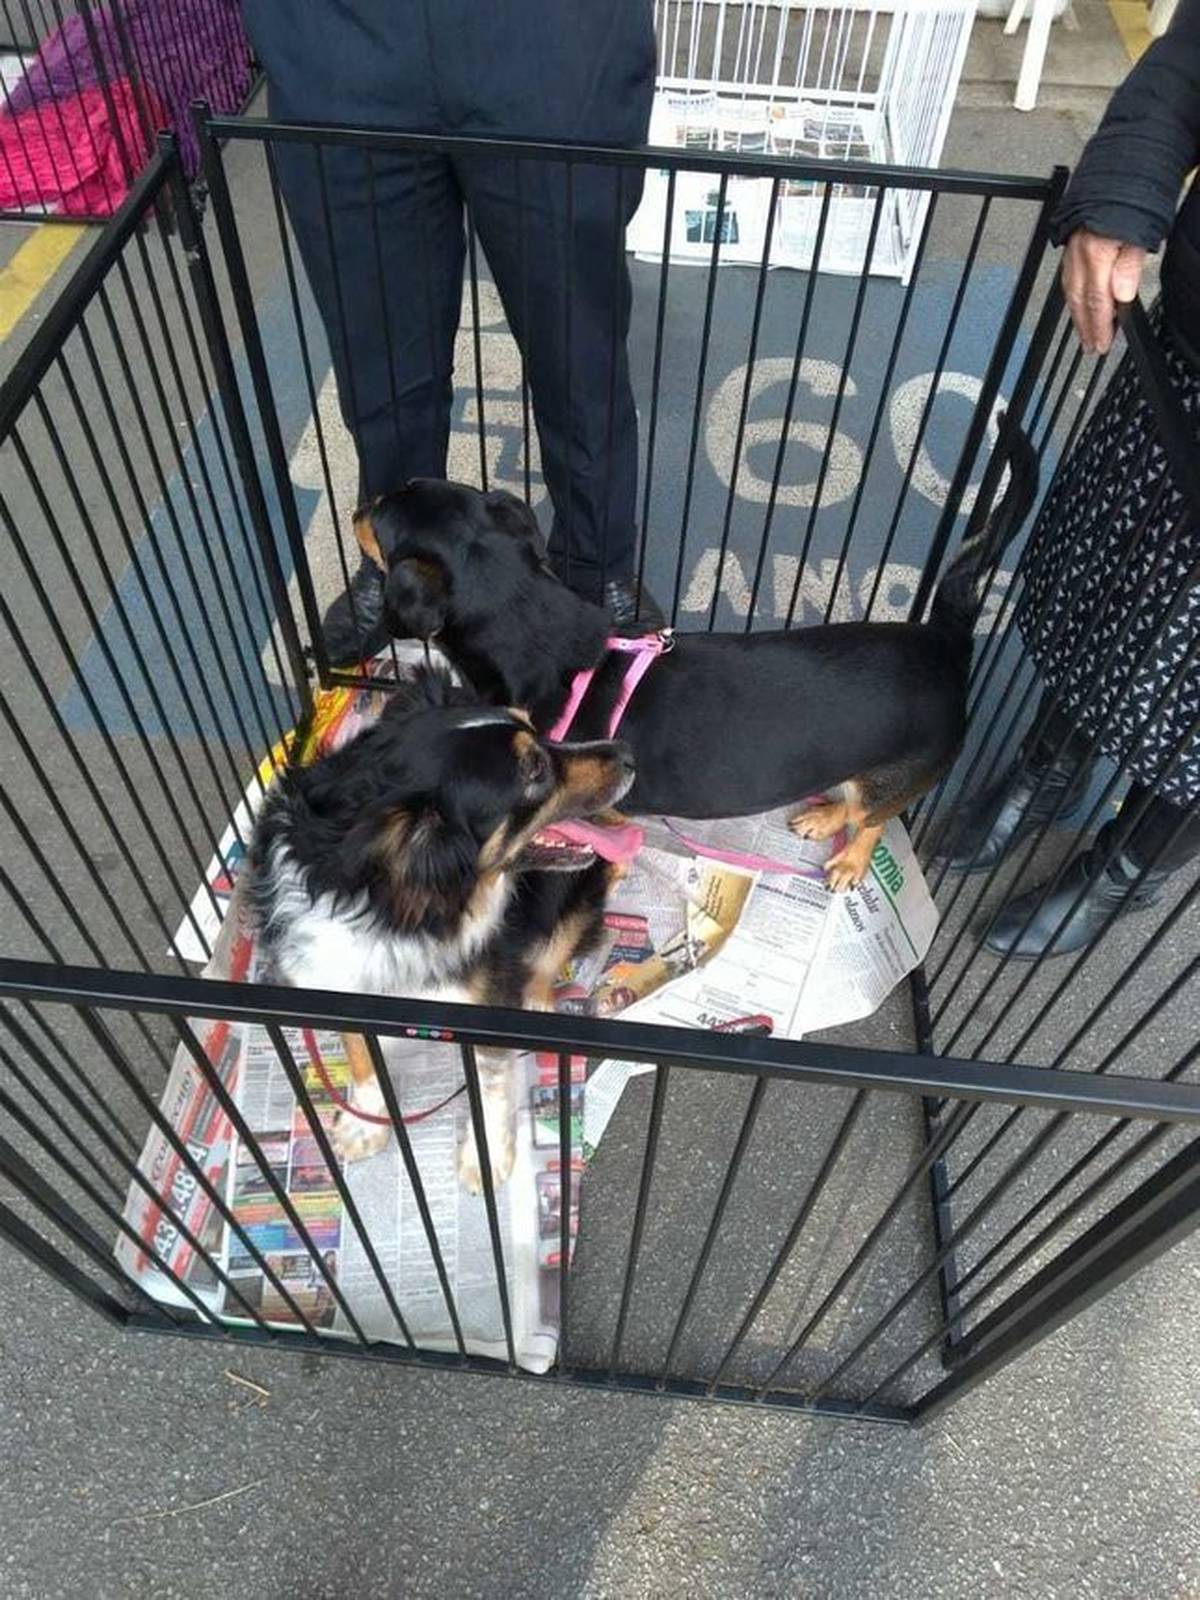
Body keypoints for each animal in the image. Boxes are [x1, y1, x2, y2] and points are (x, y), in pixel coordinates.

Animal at [248, 669, 633, 1190]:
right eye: (534, 770)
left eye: (535, 727)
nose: (627, 754)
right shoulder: (332, 982)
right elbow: (360, 1055)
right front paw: (366, 1122)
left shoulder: (487, 998)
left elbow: (490, 1085)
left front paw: (485, 1158)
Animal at [351, 429, 1038, 889]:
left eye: (382, 514)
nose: (358, 506)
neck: (540, 634)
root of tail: (945, 640)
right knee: (854, 798)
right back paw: (824, 821)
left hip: (902, 774)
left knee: (872, 817)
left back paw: (847, 859)